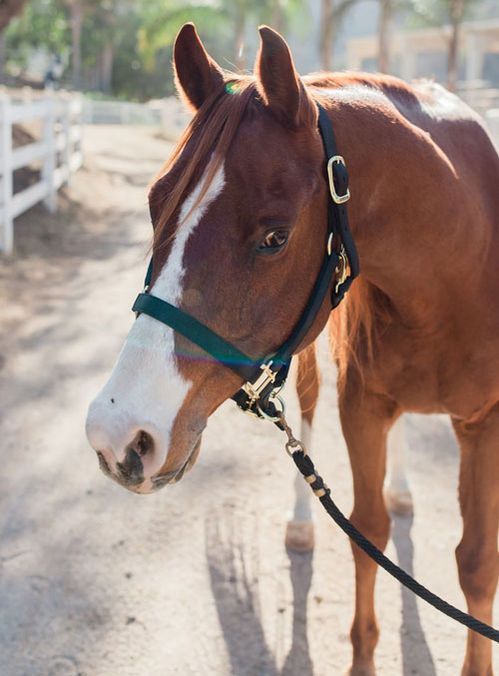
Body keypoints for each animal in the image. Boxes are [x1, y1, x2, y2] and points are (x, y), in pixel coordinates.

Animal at [86, 23, 499, 675]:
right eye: (155, 204)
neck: (460, 266)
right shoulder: (361, 406)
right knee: (305, 409)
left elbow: (478, 560)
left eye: (275, 237)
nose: (117, 435)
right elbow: (368, 533)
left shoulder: (485, 424)